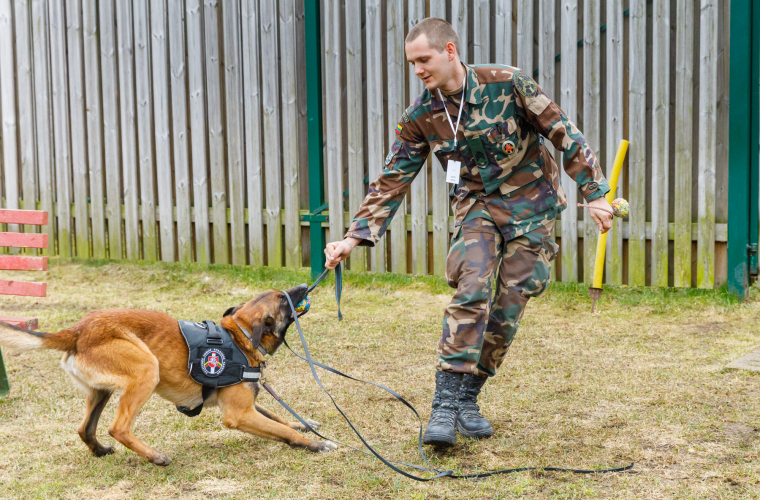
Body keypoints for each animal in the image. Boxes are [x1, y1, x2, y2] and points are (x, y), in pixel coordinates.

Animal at [0, 284, 336, 466]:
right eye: (282, 299)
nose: (304, 286)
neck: (239, 336)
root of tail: (77, 330)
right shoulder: (238, 414)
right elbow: (281, 429)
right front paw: (316, 444)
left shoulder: (247, 405)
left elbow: (278, 417)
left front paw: (303, 424)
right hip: (147, 369)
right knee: (118, 428)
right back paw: (155, 457)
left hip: (102, 390)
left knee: (86, 428)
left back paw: (100, 451)